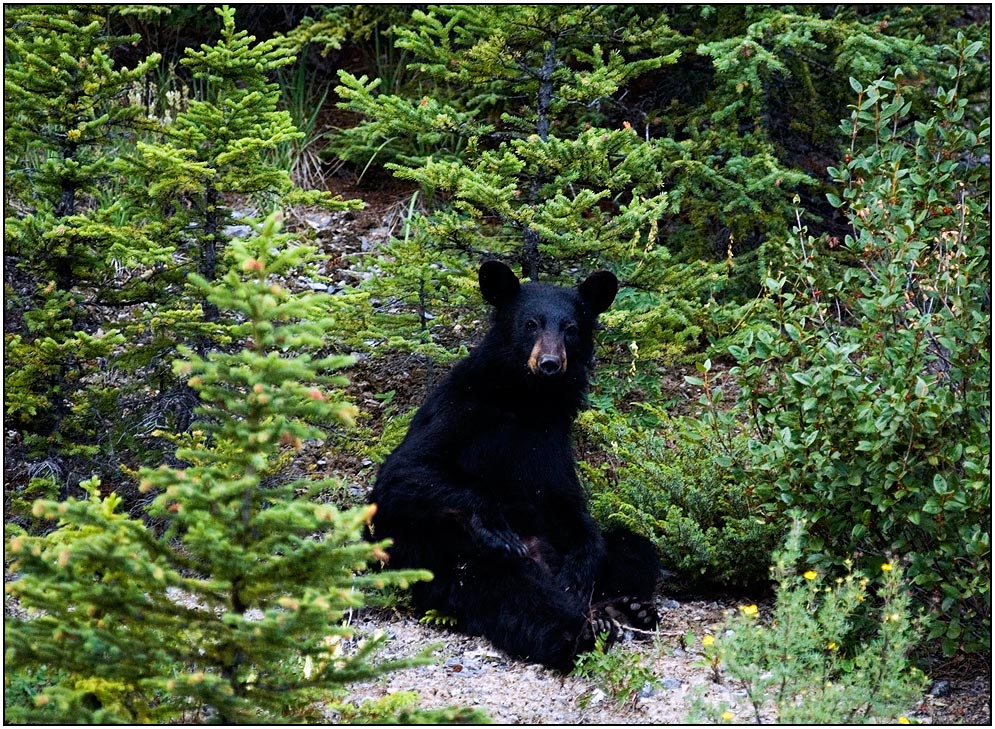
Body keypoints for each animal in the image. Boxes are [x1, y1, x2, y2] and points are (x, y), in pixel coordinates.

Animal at [370, 262, 656, 672]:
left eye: (571, 327)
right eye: (530, 323)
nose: (549, 364)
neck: (527, 401)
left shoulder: (552, 442)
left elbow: (572, 508)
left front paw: (579, 571)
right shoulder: (458, 412)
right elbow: (404, 473)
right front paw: (495, 523)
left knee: (633, 547)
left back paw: (630, 607)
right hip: (449, 560)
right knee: (510, 590)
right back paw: (584, 632)